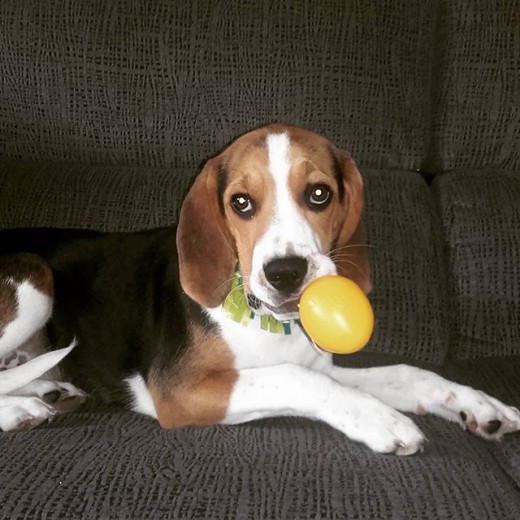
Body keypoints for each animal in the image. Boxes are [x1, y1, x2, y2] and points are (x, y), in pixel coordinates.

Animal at [1, 124, 520, 452]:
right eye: (241, 203)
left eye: (319, 194)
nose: (285, 273)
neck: (267, 322)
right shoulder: (179, 390)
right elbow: (297, 378)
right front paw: (382, 419)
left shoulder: (318, 363)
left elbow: (407, 374)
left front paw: (477, 404)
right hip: (34, 276)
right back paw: (22, 408)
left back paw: (49, 391)